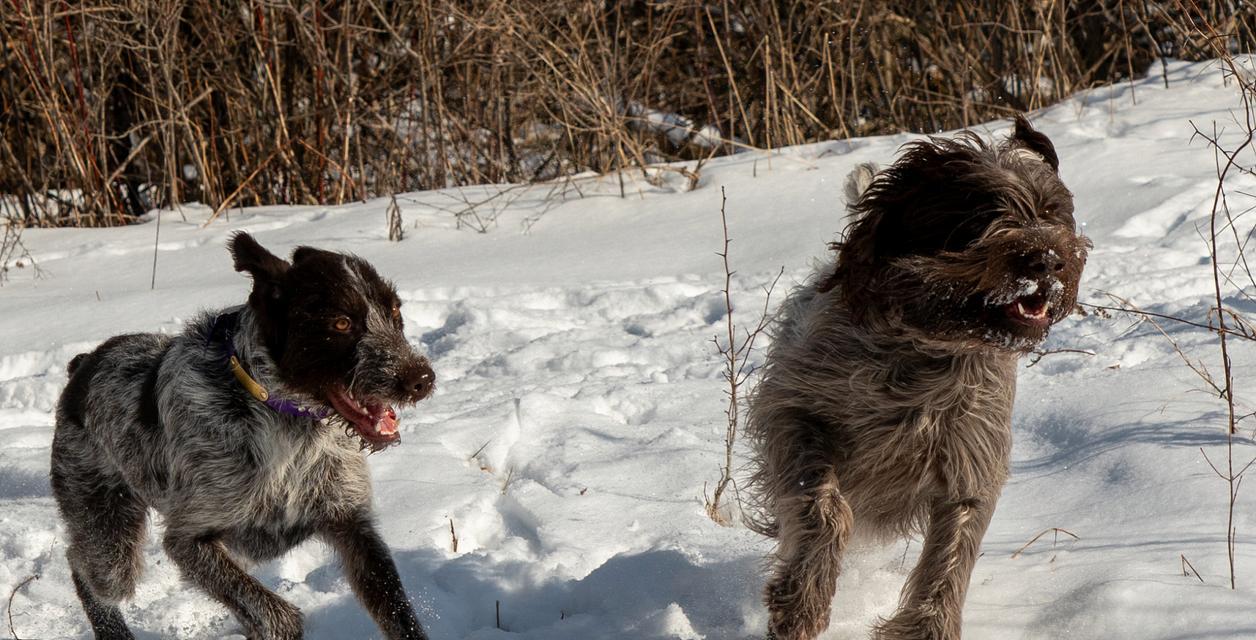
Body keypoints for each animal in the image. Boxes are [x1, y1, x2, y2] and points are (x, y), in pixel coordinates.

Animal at [51, 233, 437, 640]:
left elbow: (398, 613)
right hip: (108, 537)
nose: (422, 380)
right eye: (342, 322)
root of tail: (82, 366)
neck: (288, 421)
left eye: (394, 313)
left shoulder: (351, 524)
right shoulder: (189, 540)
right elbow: (277, 616)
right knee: (84, 568)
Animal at [743, 117, 1090, 637]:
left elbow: (950, 555)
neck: (925, 350)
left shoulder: (970, 462)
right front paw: (801, 599)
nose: (1047, 259)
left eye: (1052, 211)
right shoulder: (797, 414)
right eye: (983, 214)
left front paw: (927, 626)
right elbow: (823, 506)